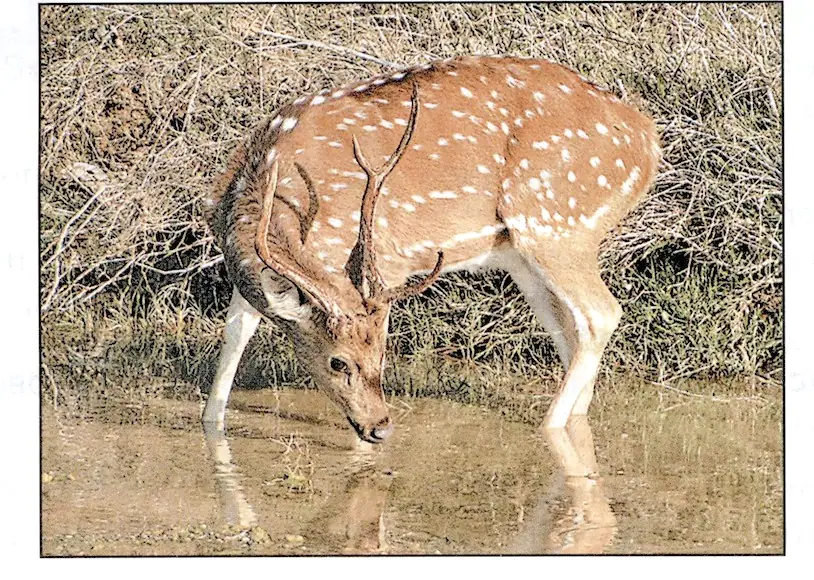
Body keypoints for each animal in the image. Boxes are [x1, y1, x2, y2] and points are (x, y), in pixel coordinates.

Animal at [204, 55, 664, 444]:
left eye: (378, 354)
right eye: (338, 362)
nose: (380, 427)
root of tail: (648, 140)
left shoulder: (384, 260)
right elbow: (236, 331)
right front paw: (212, 423)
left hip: (557, 222)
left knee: (602, 313)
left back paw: (548, 427)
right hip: (523, 253)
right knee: (570, 330)